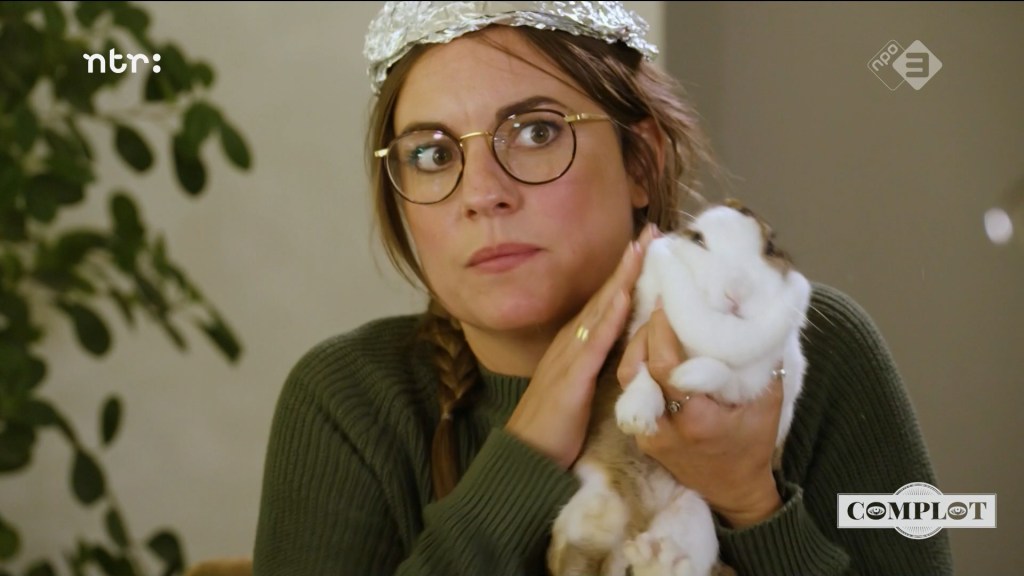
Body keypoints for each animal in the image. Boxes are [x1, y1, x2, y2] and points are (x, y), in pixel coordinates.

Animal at [547, 199, 812, 576]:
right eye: (698, 239)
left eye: (771, 249)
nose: (735, 294)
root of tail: (639, 520)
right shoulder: (639, 334)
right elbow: (643, 374)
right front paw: (635, 417)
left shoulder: (753, 381)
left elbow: (722, 372)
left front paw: (683, 377)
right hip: (593, 501)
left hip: (692, 513)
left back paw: (653, 557)